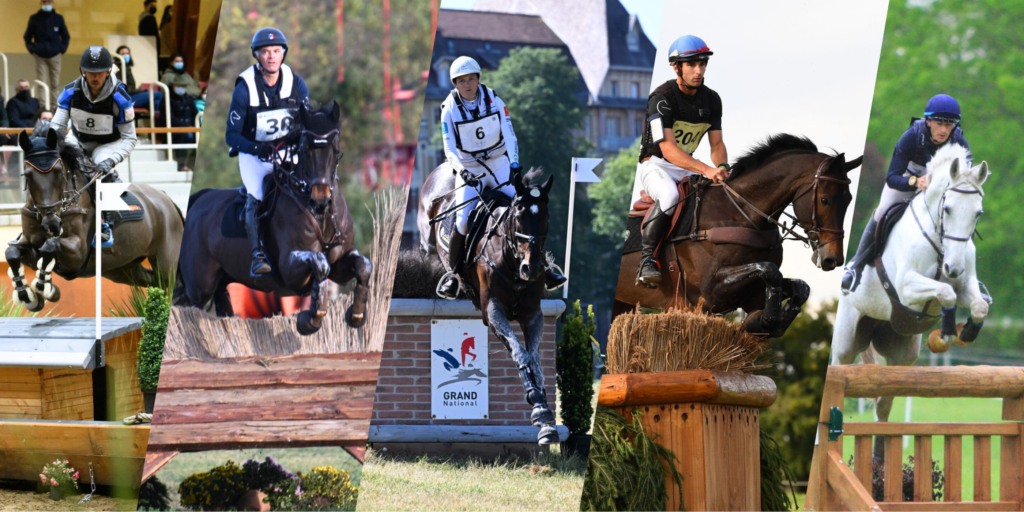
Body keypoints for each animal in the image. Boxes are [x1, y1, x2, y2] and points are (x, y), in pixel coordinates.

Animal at [7, 128, 183, 311]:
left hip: (167, 265)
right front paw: (27, 296)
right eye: (27, 175)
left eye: (58, 171)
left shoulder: (78, 253)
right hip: (122, 268)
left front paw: (46, 288)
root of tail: (166, 198)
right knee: (152, 281)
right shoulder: (31, 244)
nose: (51, 224)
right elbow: (11, 252)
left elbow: (50, 246)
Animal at [178, 101, 374, 333]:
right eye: (305, 150)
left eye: (335, 150)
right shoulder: (290, 269)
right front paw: (311, 319)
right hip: (199, 287)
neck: (322, 218)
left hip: (221, 281)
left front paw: (357, 315)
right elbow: (320, 263)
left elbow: (363, 265)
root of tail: (199, 199)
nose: (320, 201)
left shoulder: (340, 266)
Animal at [610, 134, 860, 337]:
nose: (833, 259)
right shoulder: (710, 293)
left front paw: (766, 323)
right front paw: (764, 320)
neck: (742, 212)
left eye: (849, 200)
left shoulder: (750, 294)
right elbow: (769, 270)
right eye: (825, 200)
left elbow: (799, 287)